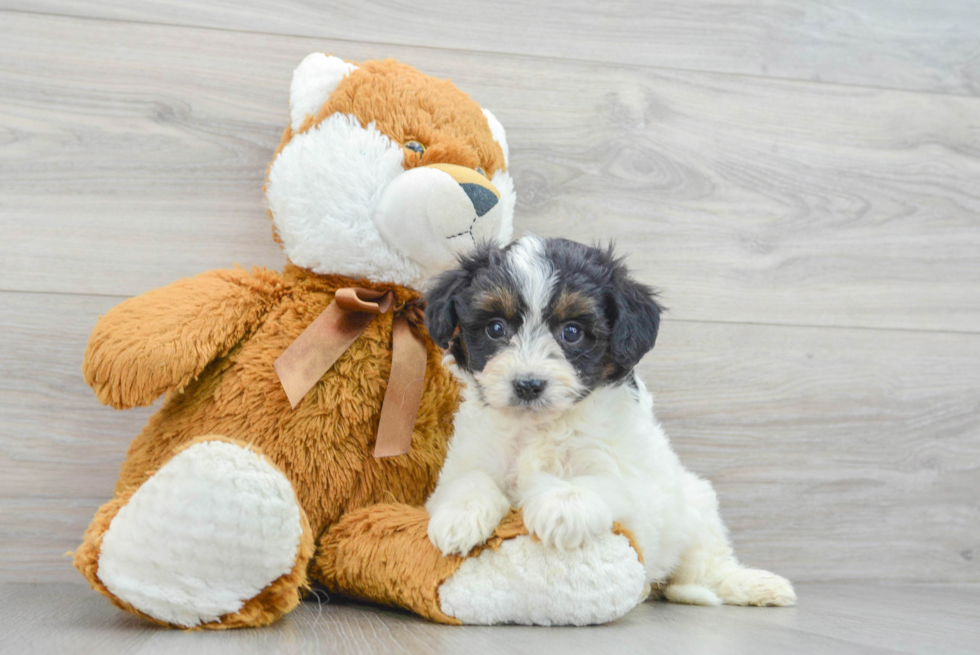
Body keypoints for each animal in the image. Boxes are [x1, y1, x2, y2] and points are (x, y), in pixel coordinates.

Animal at [424, 237, 796, 608]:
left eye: (572, 332)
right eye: (495, 328)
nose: (528, 384)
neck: (540, 425)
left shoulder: (629, 476)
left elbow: (600, 482)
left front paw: (562, 506)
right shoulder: (472, 454)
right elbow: (469, 479)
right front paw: (459, 516)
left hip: (697, 510)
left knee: (710, 567)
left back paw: (753, 585)